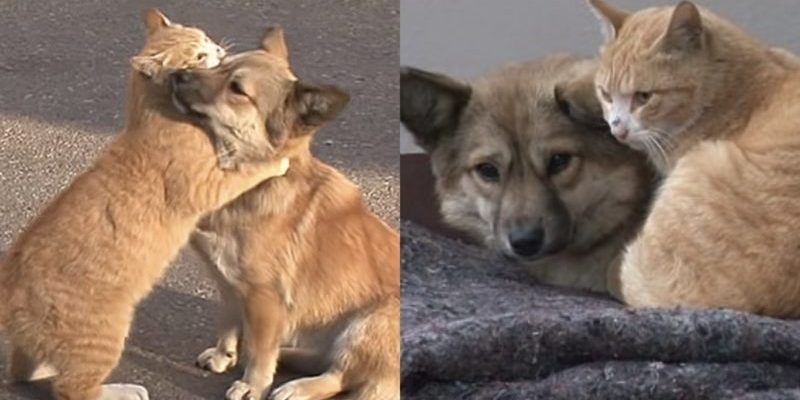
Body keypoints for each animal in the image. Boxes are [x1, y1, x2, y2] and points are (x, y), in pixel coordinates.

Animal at [0, 9, 288, 400]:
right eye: (199, 56)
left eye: (207, 40)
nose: (219, 50)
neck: (151, 112)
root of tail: (8, 282)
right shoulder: (209, 185)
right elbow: (248, 169)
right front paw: (276, 160)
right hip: (105, 338)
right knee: (73, 389)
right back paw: (124, 390)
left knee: (25, 370)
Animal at [173, 28, 404, 400]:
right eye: (220, 64)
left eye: (237, 89)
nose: (177, 75)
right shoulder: (227, 285)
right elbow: (227, 324)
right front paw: (224, 354)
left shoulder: (265, 300)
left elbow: (261, 353)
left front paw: (252, 385)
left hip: (369, 323)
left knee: (341, 374)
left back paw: (298, 387)